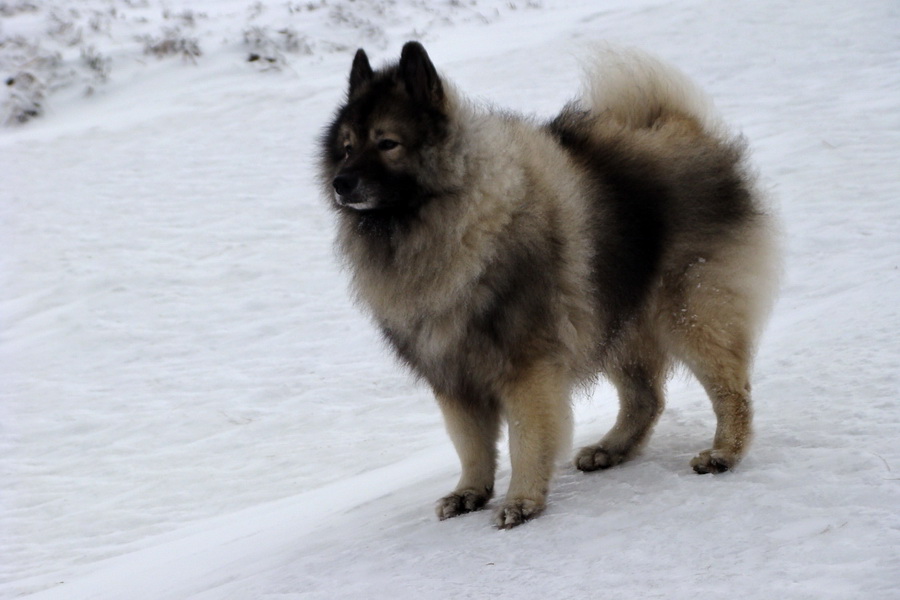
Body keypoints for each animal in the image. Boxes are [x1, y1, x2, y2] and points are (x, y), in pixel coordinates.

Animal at [318, 42, 780, 528]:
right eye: (346, 148)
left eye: (387, 143)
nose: (340, 183)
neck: (452, 223)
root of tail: (679, 126)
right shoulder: (454, 377)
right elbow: (471, 445)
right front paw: (469, 492)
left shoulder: (527, 367)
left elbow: (526, 438)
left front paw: (521, 500)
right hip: (616, 321)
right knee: (646, 398)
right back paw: (612, 449)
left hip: (688, 312)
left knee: (731, 389)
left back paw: (724, 453)